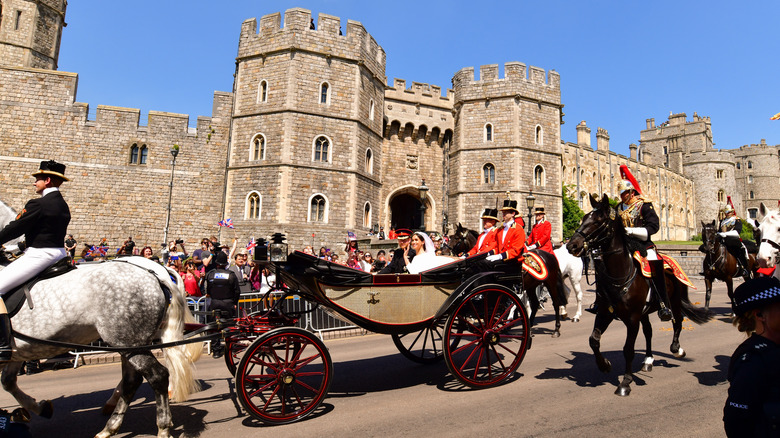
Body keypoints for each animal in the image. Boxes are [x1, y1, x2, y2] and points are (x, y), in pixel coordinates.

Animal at [0, 200, 203, 436]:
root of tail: (156, 273)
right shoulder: (21, 350)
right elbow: (8, 381)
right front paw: (40, 407)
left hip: (127, 342)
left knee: (157, 375)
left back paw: (161, 427)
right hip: (130, 343)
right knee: (132, 380)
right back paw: (110, 425)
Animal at [564, 195, 708, 396]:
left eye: (598, 221)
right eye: (584, 218)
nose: (572, 245)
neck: (620, 275)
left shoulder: (632, 319)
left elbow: (628, 349)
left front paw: (625, 382)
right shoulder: (605, 312)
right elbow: (594, 340)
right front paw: (604, 365)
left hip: (674, 302)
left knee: (677, 322)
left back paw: (677, 349)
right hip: (645, 313)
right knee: (649, 332)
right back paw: (648, 360)